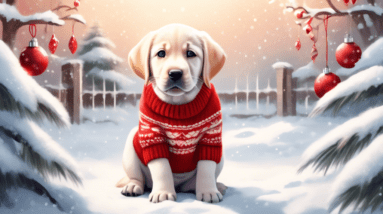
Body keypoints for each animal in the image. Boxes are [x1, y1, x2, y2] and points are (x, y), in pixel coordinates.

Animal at [115, 23, 226, 204]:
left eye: (190, 53)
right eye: (161, 53)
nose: (175, 73)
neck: (179, 105)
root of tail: (179, 185)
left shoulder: (211, 136)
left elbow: (207, 168)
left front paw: (208, 191)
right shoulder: (153, 136)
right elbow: (161, 168)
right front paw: (163, 193)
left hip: (220, 157)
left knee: (193, 183)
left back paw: (216, 186)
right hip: (132, 145)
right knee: (138, 178)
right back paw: (133, 186)